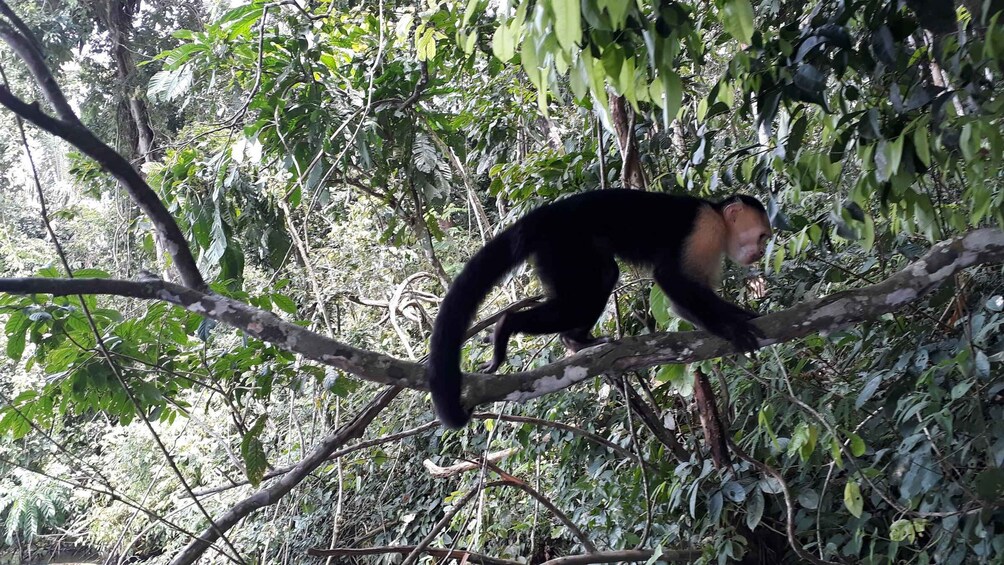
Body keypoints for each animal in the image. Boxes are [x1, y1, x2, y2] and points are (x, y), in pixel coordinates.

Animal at [427, 189, 771, 429]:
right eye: (761, 236)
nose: (761, 252)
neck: (717, 219)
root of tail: (544, 214)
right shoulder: (704, 231)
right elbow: (671, 280)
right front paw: (732, 328)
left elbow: (688, 303)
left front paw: (744, 315)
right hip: (564, 245)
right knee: (580, 297)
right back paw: (506, 327)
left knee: (603, 277)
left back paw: (576, 340)